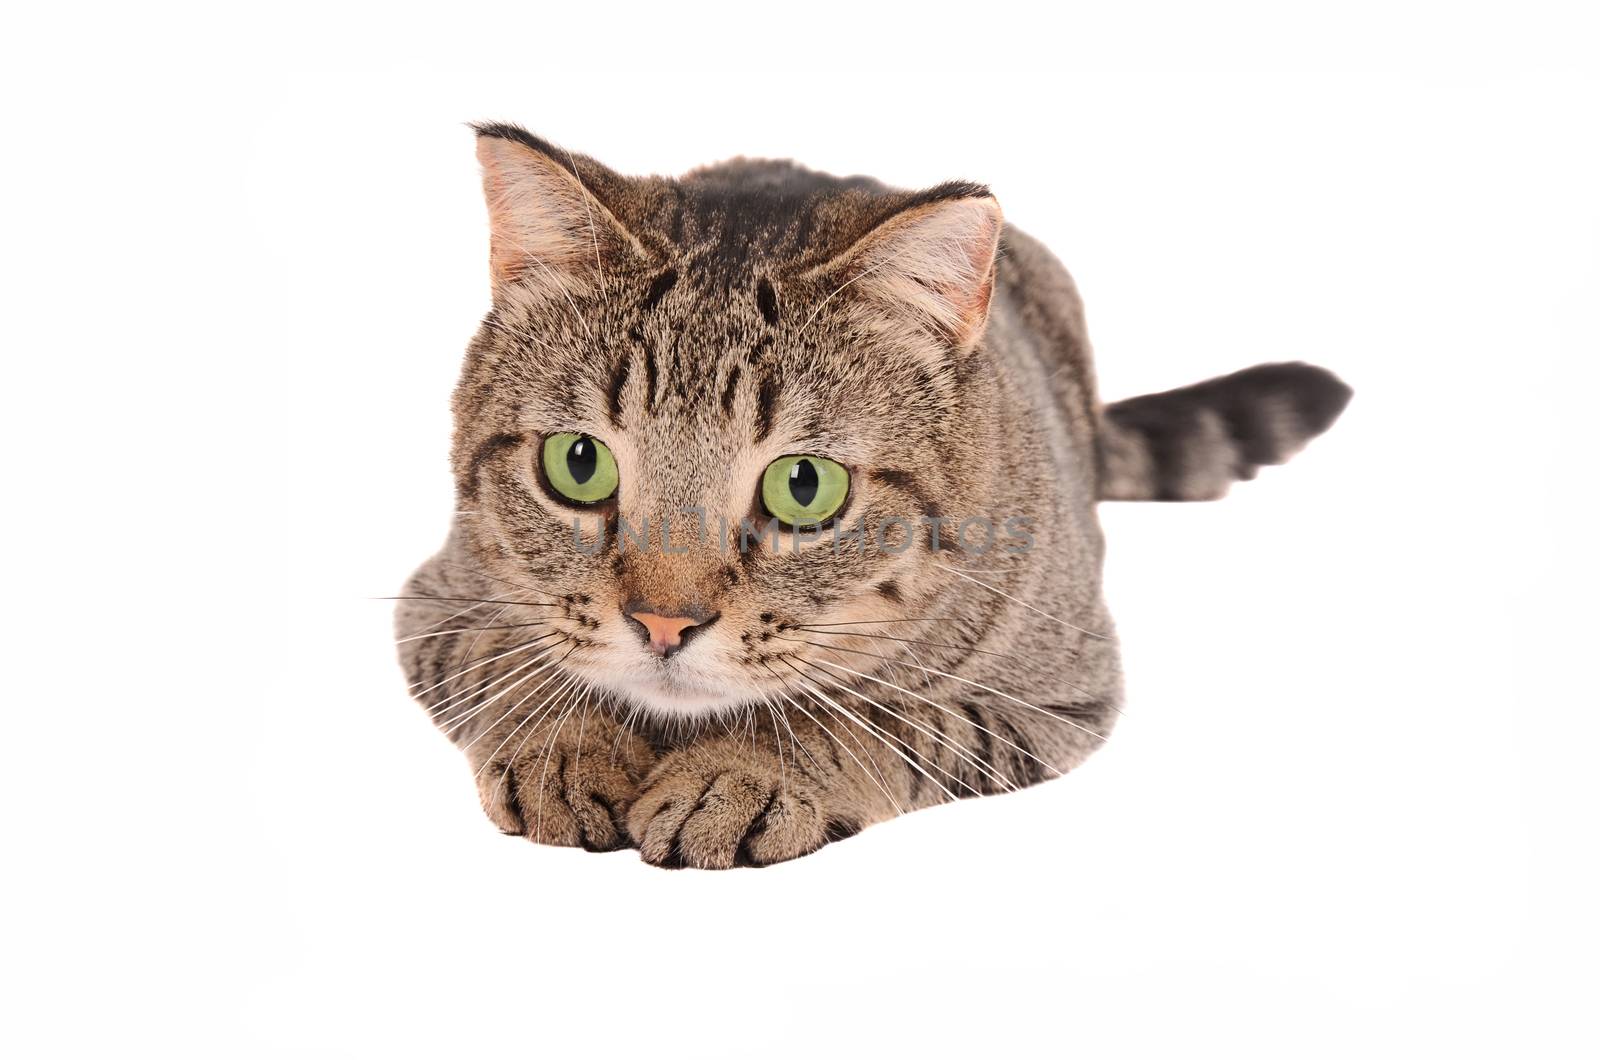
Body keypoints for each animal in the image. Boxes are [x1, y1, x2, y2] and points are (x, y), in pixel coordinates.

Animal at [390, 126, 1350, 871]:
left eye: (803, 486)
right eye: (579, 463)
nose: (663, 624)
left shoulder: (1063, 694)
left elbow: (871, 717)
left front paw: (746, 773)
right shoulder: (436, 600)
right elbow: (510, 664)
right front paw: (569, 744)